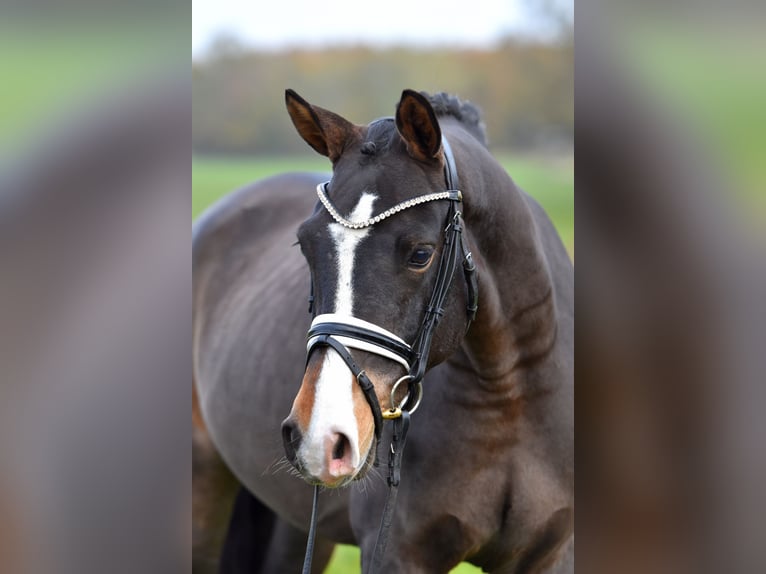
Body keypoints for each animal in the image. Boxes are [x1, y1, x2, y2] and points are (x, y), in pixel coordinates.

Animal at [194, 88, 576, 572]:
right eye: (305, 245)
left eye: (420, 254)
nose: (322, 437)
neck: (508, 394)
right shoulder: (396, 554)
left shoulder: (554, 553)